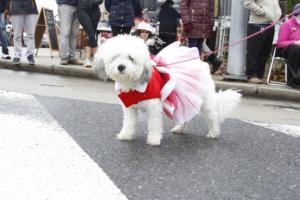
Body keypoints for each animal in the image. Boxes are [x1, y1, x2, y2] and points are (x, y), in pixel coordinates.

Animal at [94, 35, 241, 146]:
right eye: (115, 57)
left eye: (131, 58)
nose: (121, 67)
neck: (134, 84)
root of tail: (201, 63)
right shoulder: (130, 107)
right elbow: (129, 122)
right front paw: (125, 134)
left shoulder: (153, 106)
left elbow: (154, 124)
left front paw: (153, 140)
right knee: (186, 116)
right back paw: (179, 128)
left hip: (205, 102)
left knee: (213, 117)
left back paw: (214, 133)